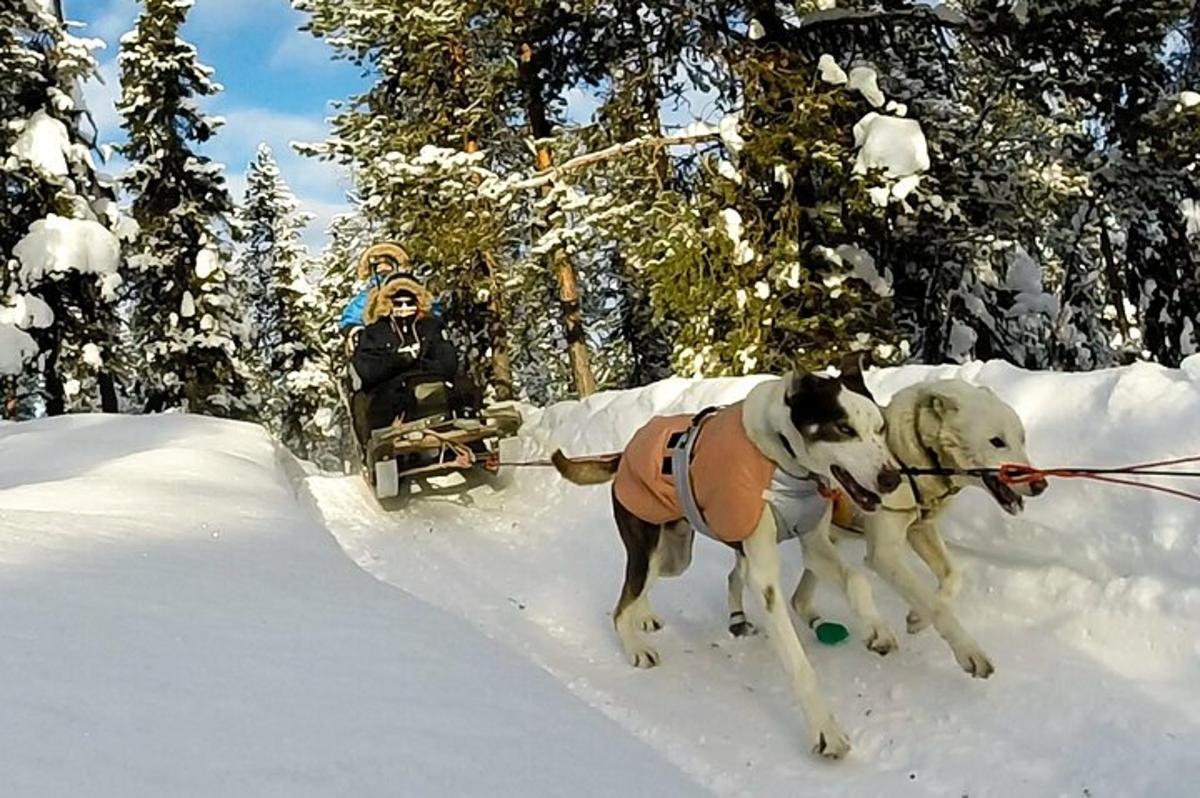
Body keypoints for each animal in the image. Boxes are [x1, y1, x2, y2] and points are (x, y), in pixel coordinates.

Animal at [552, 369, 902, 758]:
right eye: (843, 428)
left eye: (880, 428)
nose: (892, 478)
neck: (783, 459)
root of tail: (626, 451)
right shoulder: (765, 576)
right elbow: (799, 665)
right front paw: (826, 731)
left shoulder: (814, 546)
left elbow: (857, 579)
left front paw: (877, 629)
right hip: (652, 548)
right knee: (623, 603)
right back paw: (635, 647)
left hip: (675, 555)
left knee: (648, 587)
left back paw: (646, 616)